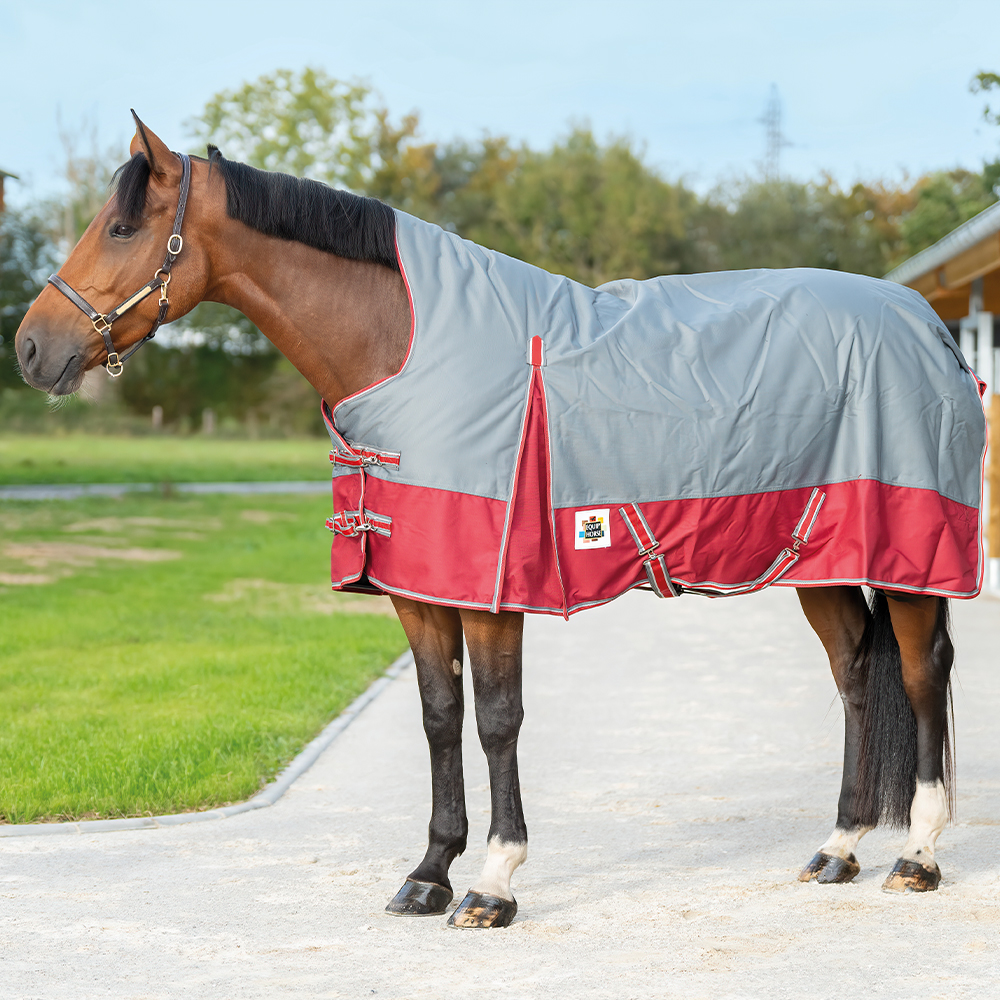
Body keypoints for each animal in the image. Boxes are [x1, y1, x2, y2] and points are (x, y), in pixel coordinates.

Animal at [15, 114, 984, 929]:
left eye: (122, 228)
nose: (31, 347)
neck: (405, 345)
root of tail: (930, 325)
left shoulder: (492, 591)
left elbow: (496, 720)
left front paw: (492, 883)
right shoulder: (416, 587)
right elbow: (440, 717)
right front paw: (428, 873)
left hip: (911, 554)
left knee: (919, 673)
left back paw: (919, 855)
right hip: (821, 559)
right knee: (854, 674)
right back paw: (840, 847)